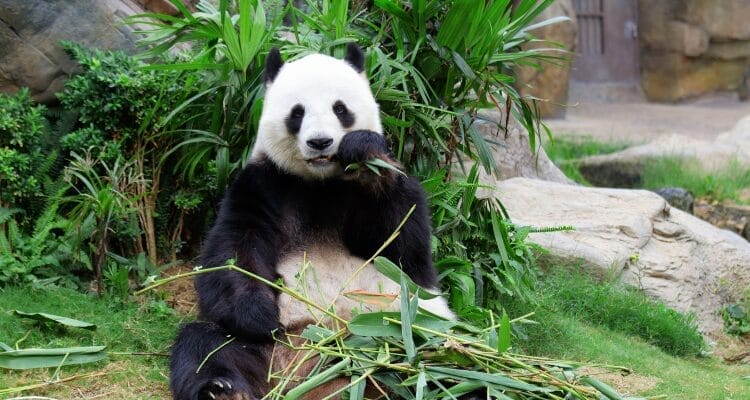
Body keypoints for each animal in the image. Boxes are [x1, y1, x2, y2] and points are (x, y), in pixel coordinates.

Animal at [169, 44, 453, 400]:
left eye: (340, 109)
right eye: (297, 112)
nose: (320, 142)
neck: (320, 183)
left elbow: (401, 245)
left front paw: (362, 151)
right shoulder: (264, 185)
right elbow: (233, 251)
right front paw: (260, 315)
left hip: (412, 331)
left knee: (443, 362)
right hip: (267, 350)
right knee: (207, 345)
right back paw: (221, 390)